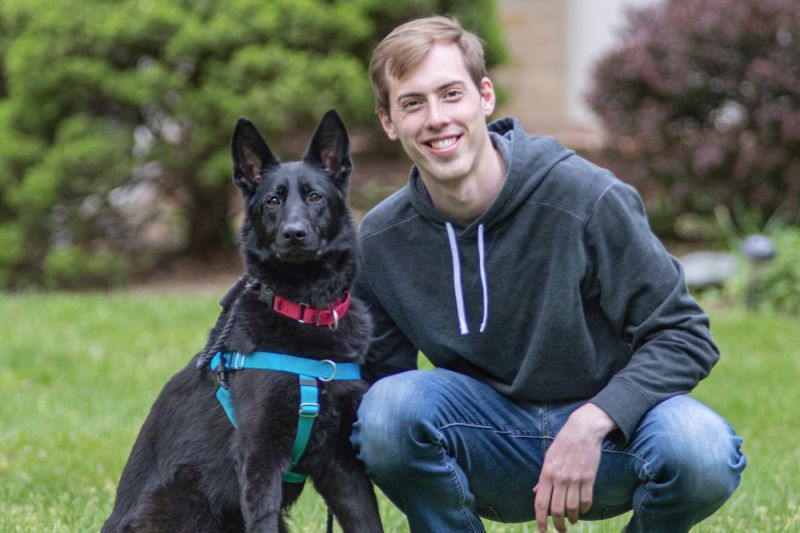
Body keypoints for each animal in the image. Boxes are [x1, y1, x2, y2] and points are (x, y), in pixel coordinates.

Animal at [101, 110, 382, 528]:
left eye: (315, 196)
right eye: (272, 200)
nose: (293, 234)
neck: (303, 310)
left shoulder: (343, 467)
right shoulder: (260, 459)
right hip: (186, 499)